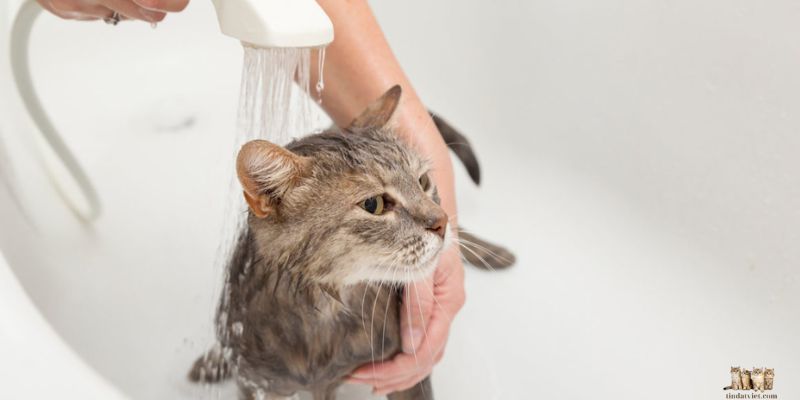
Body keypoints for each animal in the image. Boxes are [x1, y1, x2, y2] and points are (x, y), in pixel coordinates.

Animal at [190, 85, 516, 400]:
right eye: (374, 205)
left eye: (423, 182)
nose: (441, 222)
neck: (327, 312)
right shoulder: (258, 386)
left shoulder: (407, 372)